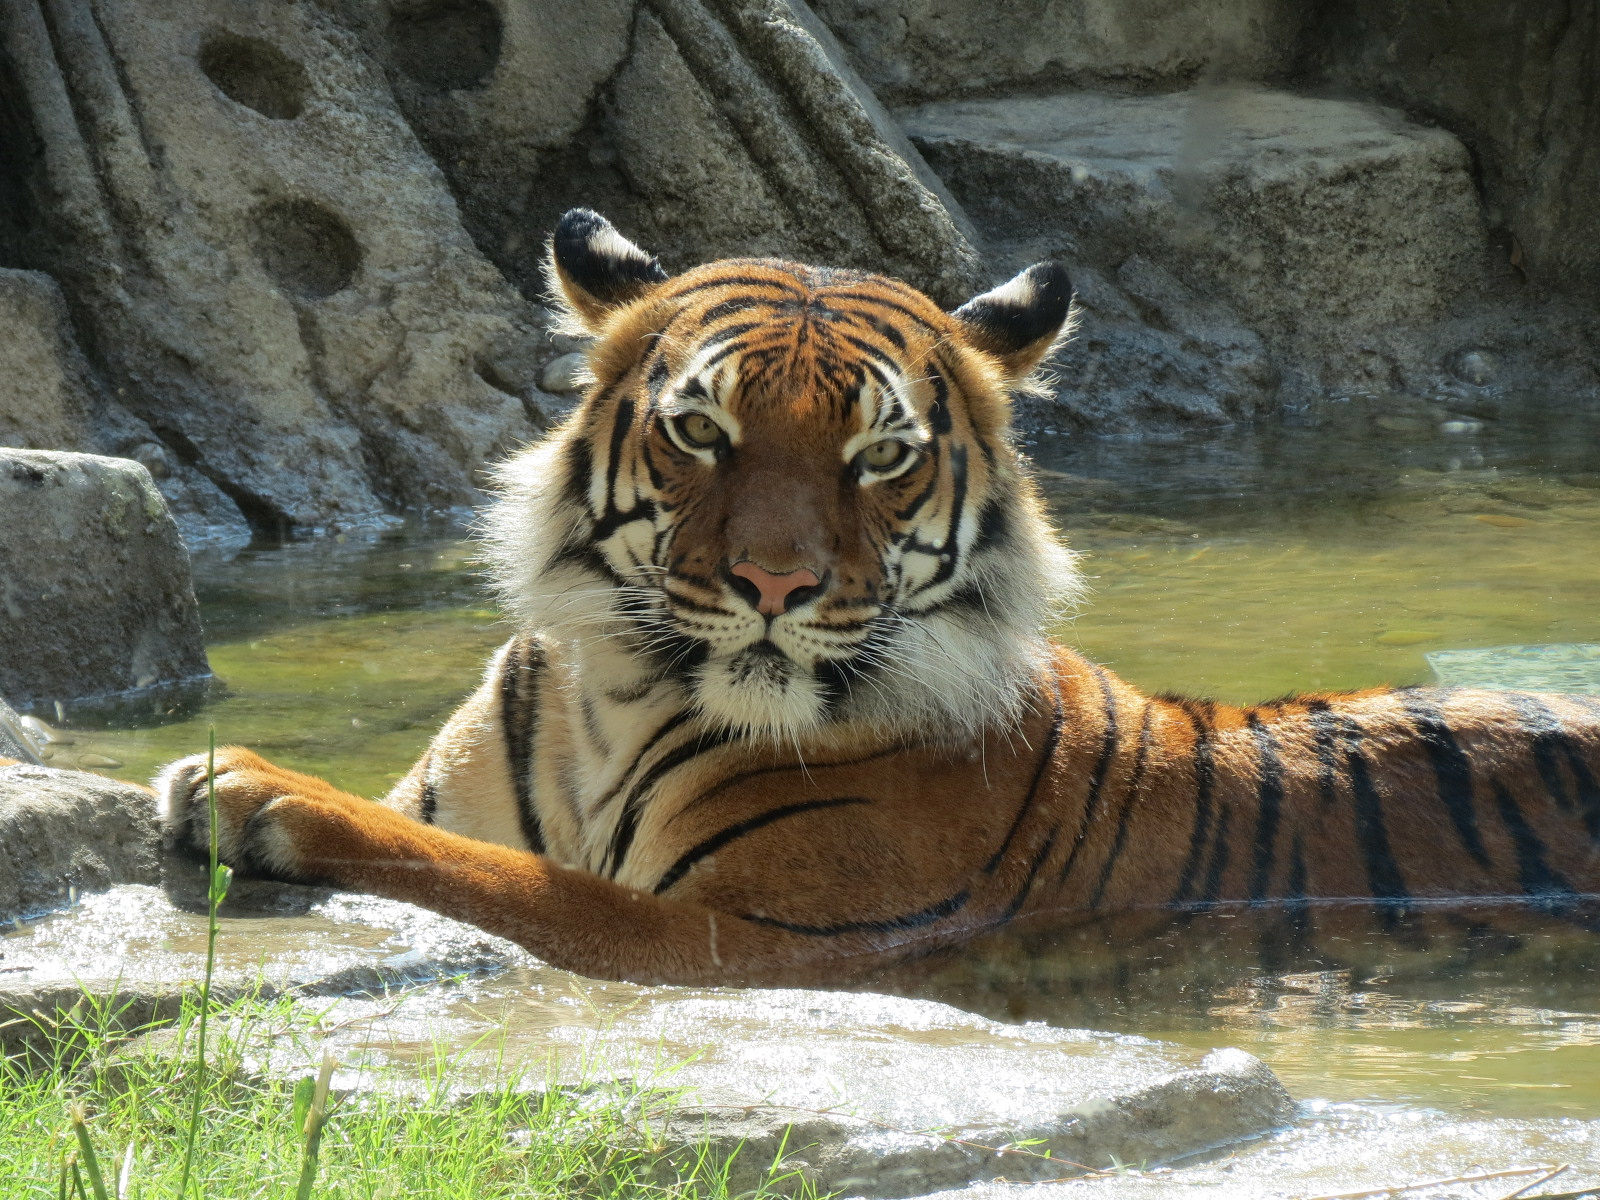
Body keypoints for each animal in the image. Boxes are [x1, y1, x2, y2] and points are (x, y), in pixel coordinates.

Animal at [155, 208, 1600, 987]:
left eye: (881, 457)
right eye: (702, 432)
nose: (774, 583)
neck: (614, 702)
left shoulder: (746, 944)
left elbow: (503, 881)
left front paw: (253, 788)